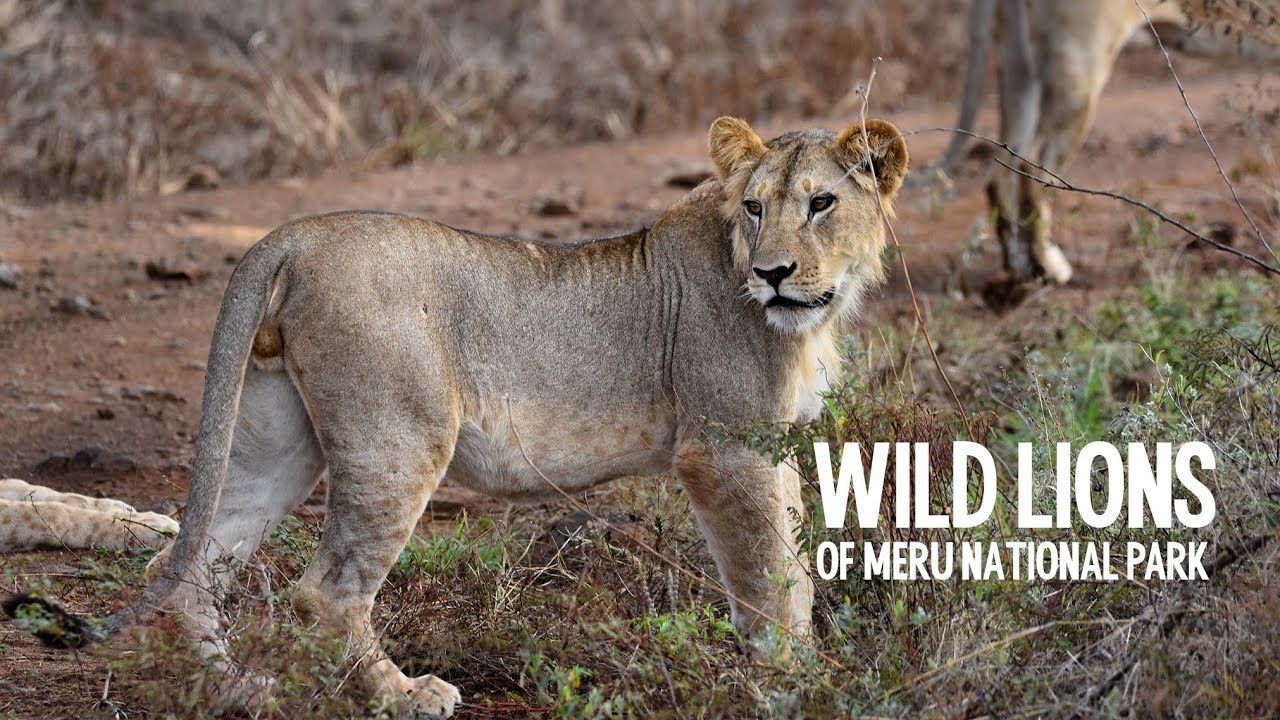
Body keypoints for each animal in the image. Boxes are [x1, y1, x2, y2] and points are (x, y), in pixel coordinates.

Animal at [939, 0, 1280, 285]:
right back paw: (1051, 267)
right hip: (1080, 66)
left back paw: (1019, 266)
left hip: (1019, 61)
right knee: (1033, 168)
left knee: (1001, 172)